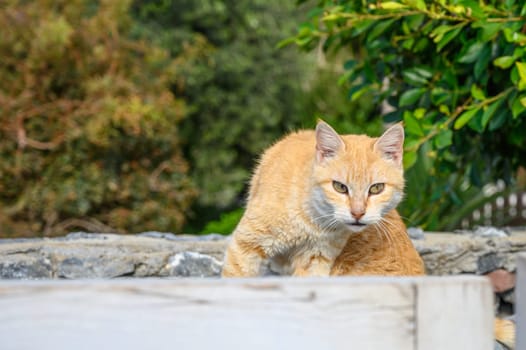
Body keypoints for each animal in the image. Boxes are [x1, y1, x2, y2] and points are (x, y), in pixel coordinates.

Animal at [222, 121, 424, 278]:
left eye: (376, 188)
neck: (311, 220)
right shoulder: (246, 246)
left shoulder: (314, 259)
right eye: (340, 187)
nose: (358, 213)